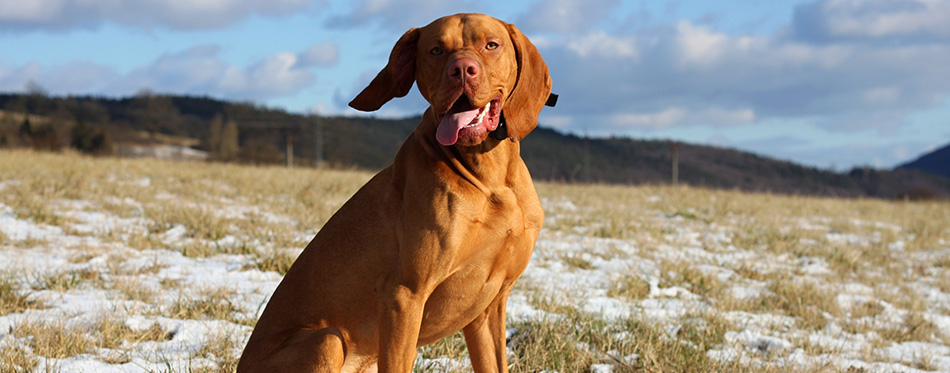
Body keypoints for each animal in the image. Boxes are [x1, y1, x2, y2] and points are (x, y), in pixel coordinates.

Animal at [238, 13, 556, 370]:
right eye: (435, 50)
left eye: (491, 45)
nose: (462, 70)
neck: (492, 180)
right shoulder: (405, 295)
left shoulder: (488, 309)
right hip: (326, 340)